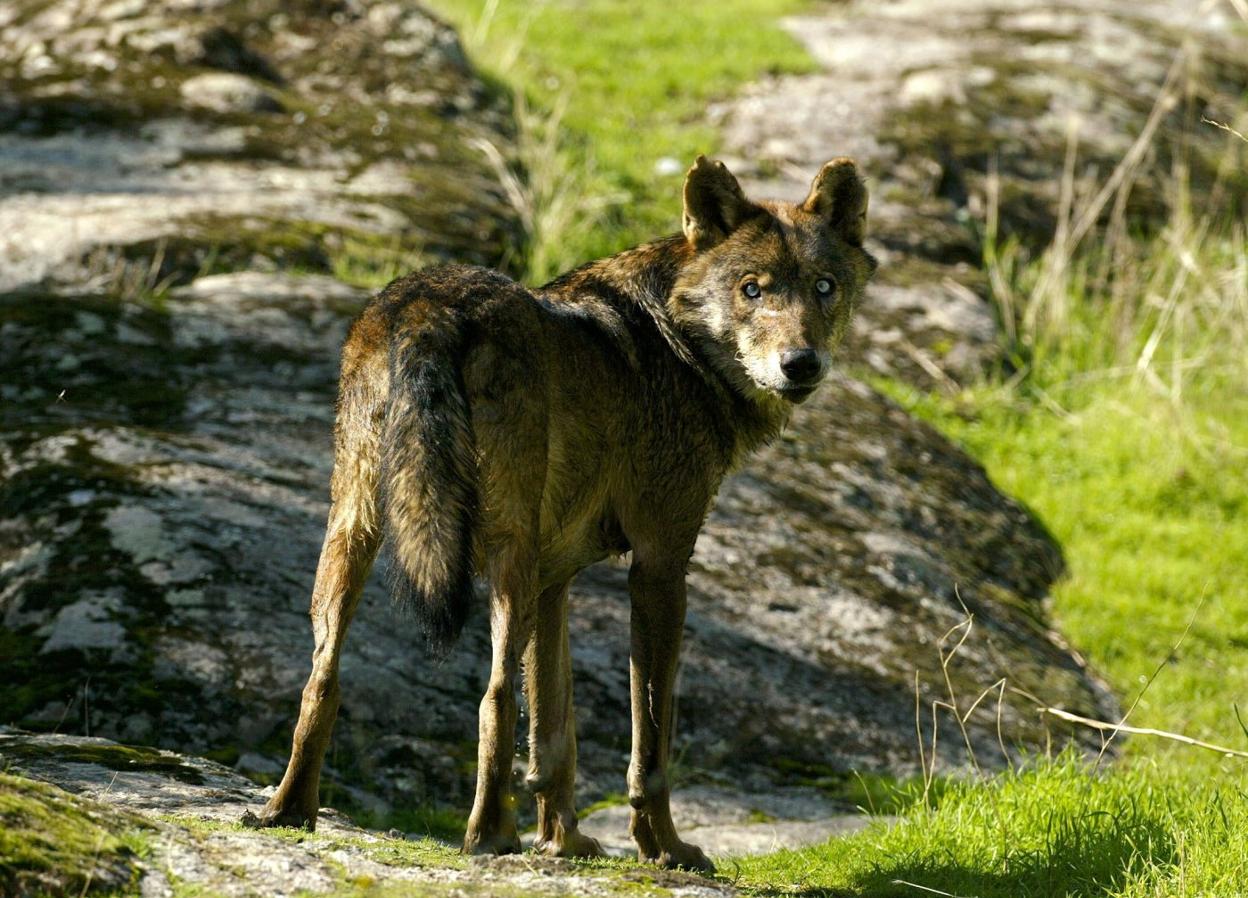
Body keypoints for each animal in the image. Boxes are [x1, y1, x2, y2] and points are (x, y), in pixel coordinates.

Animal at [250, 154, 878, 868]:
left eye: (824, 287)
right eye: (752, 289)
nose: (801, 364)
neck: (678, 343)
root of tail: (429, 303)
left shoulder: (556, 582)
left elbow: (555, 734)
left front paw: (563, 841)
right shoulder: (660, 566)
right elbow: (649, 740)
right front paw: (663, 846)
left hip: (356, 530)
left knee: (322, 678)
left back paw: (289, 811)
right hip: (507, 553)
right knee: (493, 694)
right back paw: (488, 836)